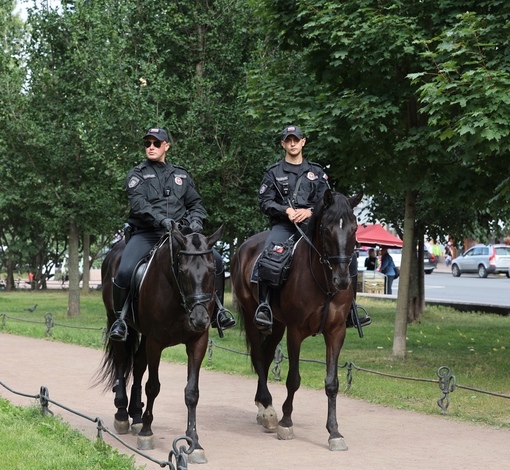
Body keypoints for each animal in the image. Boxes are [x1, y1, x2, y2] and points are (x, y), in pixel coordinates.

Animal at [96, 222, 223, 464]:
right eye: (183, 271)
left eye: (212, 271)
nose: (200, 319)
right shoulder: (155, 342)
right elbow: (153, 386)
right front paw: (147, 432)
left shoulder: (198, 342)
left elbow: (192, 392)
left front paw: (194, 443)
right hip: (118, 323)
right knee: (122, 362)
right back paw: (122, 414)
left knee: (137, 366)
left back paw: (136, 415)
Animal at [231, 190, 362, 452]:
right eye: (326, 229)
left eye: (354, 228)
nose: (342, 280)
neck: (324, 282)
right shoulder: (296, 332)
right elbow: (293, 379)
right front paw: (286, 423)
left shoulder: (336, 333)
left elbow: (332, 383)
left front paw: (334, 432)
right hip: (253, 319)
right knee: (259, 357)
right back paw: (269, 411)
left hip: (276, 326)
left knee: (267, 355)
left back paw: (263, 407)